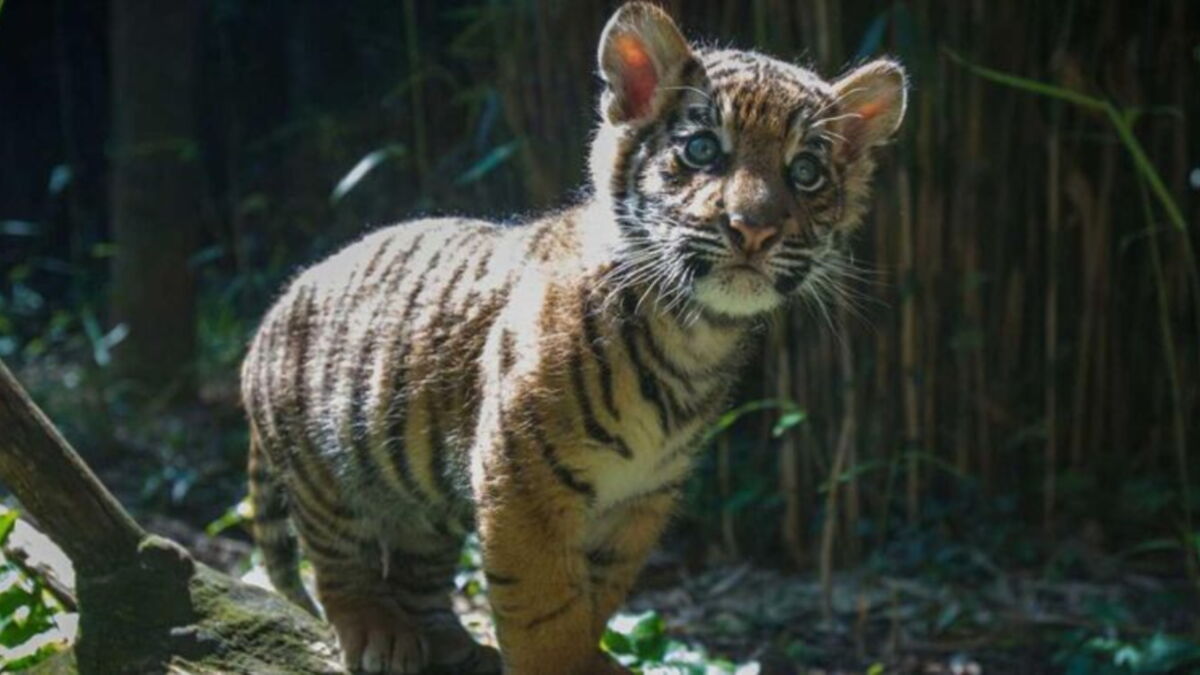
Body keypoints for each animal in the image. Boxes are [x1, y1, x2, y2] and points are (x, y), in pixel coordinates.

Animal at [241, 3, 906, 673]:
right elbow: (543, 604)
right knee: (336, 562)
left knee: (416, 570)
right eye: (701, 150)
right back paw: (376, 632)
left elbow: (597, 594)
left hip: (423, 502)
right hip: (326, 470)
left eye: (805, 172)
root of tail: (284, 298)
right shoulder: (521, 477)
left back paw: (453, 644)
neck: (693, 334)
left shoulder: (642, 497)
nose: (754, 230)